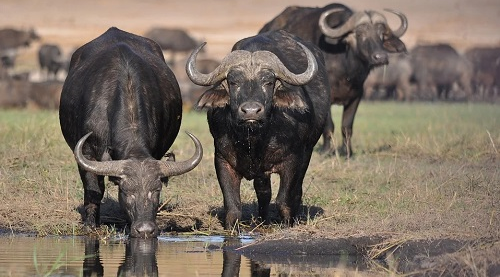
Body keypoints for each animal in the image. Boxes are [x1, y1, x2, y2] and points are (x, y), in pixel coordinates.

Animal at [60, 26, 203, 237]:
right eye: (126, 192)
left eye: (156, 190)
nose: (145, 229)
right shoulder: (86, 153)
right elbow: (94, 189)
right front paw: (90, 225)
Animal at [186, 29, 330, 229]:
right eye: (233, 82)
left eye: (268, 82)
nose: (251, 111)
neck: (254, 139)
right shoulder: (222, 160)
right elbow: (232, 206)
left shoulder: (293, 160)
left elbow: (284, 200)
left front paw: (287, 224)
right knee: (263, 192)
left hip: (307, 153)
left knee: (295, 191)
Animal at [260, 2, 408, 156]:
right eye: (360, 33)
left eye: (381, 35)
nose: (381, 57)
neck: (346, 68)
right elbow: (328, 125)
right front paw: (327, 150)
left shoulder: (356, 96)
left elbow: (347, 126)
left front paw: (348, 152)